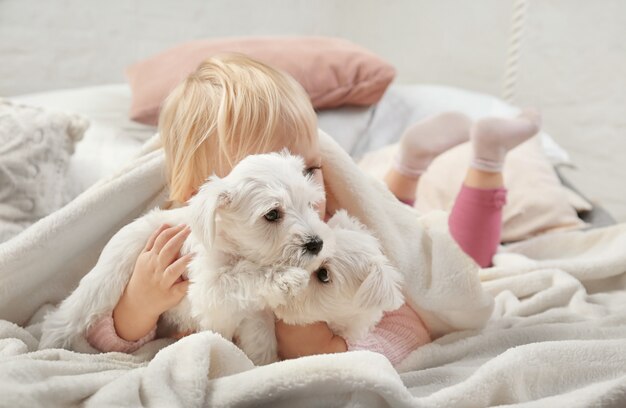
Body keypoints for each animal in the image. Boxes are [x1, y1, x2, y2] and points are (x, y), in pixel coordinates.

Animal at [39, 151, 332, 364]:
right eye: (272, 214)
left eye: (310, 204)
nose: (317, 243)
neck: (237, 250)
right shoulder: (208, 289)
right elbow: (243, 276)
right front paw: (286, 279)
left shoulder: (254, 317)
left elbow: (260, 343)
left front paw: (261, 364)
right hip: (101, 288)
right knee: (63, 318)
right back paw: (46, 349)